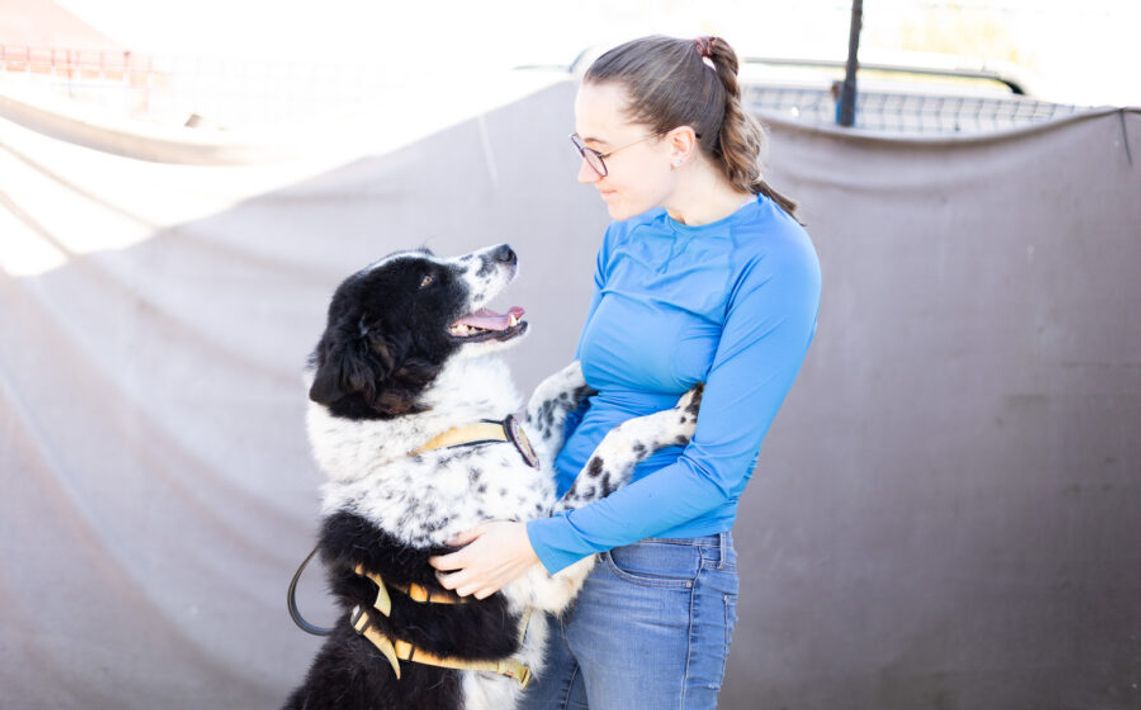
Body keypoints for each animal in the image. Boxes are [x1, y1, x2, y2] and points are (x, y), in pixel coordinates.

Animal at [284, 243, 702, 710]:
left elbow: (548, 392)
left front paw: (592, 366)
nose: (506, 251)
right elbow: (612, 442)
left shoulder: (529, 449)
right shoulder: (542, 567)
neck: (432, 436)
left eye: (430, 256)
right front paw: (677, 418)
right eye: (426, 281)